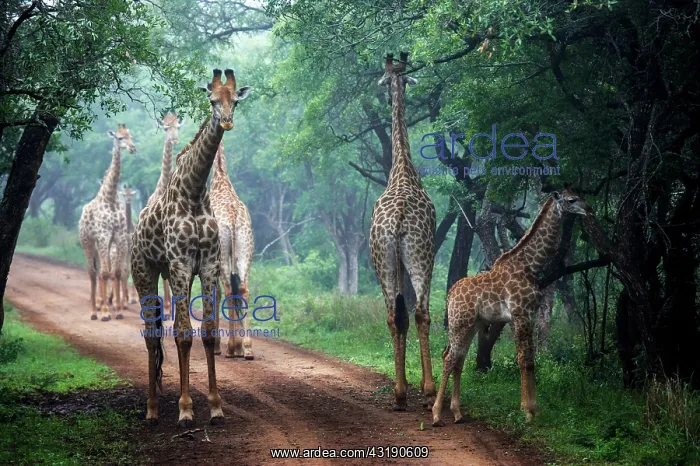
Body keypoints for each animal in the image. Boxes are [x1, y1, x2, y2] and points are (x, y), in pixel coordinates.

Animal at [78, 124, 136, 321]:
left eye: (131, 136)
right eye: (120, 138)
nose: (133, 148)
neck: (110, 197)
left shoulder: (118, 236)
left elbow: (116, 273)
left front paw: (118, 311)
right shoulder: (103, 236)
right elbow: (104, 273)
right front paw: (105, 312)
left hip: (101, 244)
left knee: (102, 272)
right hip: (88, 242)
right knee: (92, 273)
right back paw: (94, 312)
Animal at [131, 69, 252, 426]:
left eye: (235, 100)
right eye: (211, 100)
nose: (226, 121)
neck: (195, 192)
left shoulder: (209, 265)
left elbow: (208, 333)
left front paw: (215, 406)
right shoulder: (182, 266)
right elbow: (184, 334)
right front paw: (185, 410)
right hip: (144, 272)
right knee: (151, 334)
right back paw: (152, 409)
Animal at [432, 188, 592, 426]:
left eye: (580, 195)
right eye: (571, 200)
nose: (589, 210)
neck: (531, 266)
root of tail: (450, 294)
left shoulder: (529, 314)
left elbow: (531, 360)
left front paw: (535, 410)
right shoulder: (519, 313)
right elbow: (523, 359)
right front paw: (527, 411)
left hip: (472, 324)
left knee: (457, 359)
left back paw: (457, 413)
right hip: (459, 322)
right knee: (449, 357)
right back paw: (435, 414)